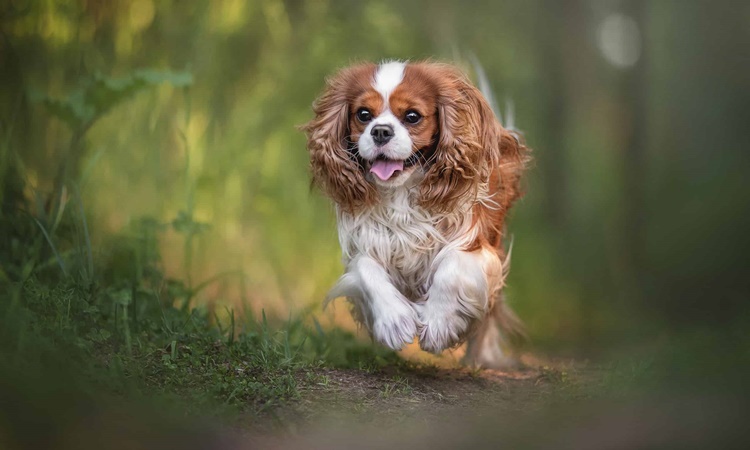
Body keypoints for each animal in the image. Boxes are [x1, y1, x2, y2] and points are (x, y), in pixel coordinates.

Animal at [302, 60, 532, 370]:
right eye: (363, 114)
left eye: (412, 116)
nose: (380, 131)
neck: (402, 194)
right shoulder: (364, 243)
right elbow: (365, 268)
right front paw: (394, 321)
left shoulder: (477, 246)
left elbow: (452, 267)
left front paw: (438, 324)